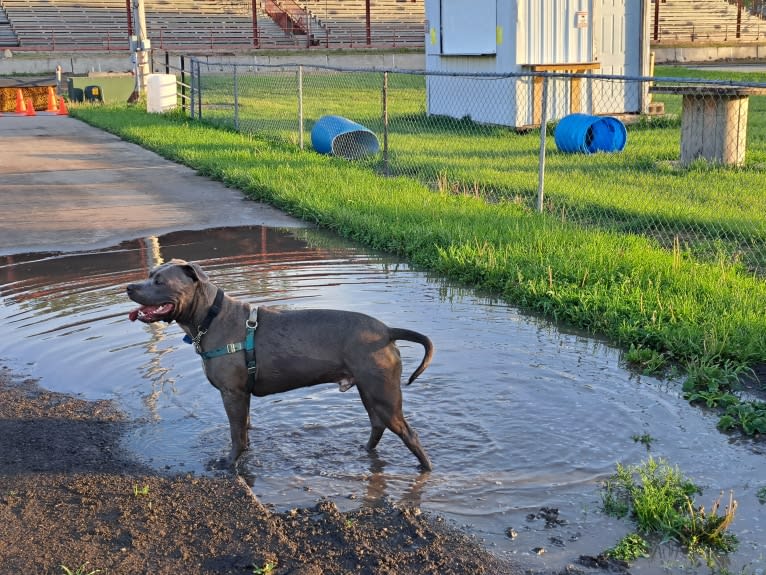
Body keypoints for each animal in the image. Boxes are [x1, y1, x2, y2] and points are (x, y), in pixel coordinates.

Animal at [129, 260, 436, 472]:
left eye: (159, 281)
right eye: (149, 274)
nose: (129, 287)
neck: (209, 317)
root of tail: (386, 331)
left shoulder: (232, 394)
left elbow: (235, 435)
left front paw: (229, 463)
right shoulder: (242, 396)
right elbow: (244, 430)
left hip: (383, 394)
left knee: (409, 434)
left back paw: (426, 469)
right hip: (369, 391)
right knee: (377, 425)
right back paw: (365, 451)